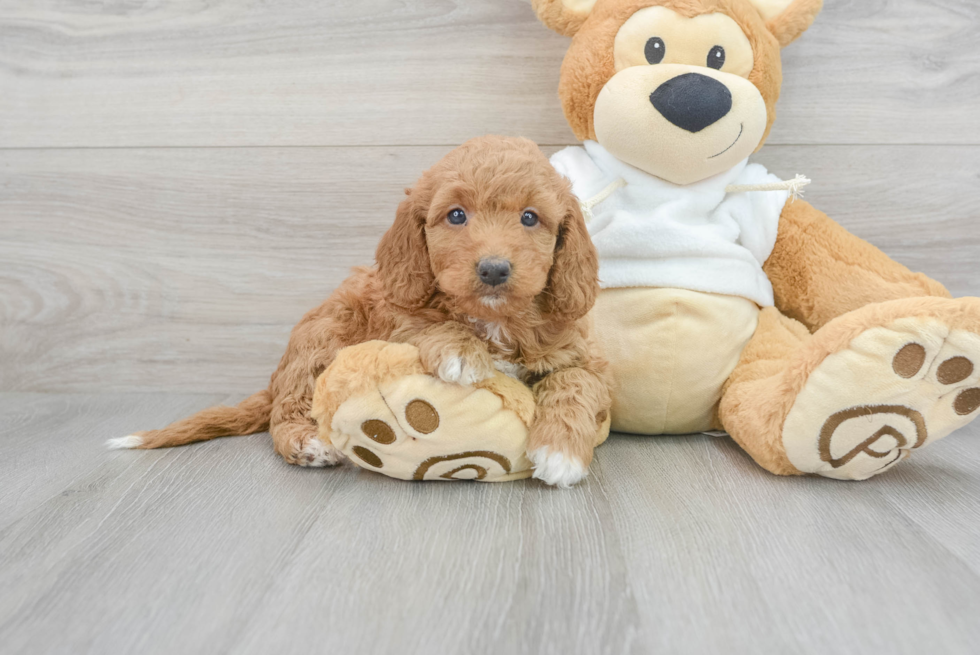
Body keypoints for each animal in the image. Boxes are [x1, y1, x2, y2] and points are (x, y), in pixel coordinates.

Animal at [109, 137, 612, 486]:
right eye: (456, 215)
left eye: (530, 217)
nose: (493, 269)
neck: (496, 319)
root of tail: (275, 378)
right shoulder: (395, 316)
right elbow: (426, 325)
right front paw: (461, 351)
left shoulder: (581, 354)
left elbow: (578, 383)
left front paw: (561, 453)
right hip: (323, 338)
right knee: (284, 414)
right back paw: (307, 442)